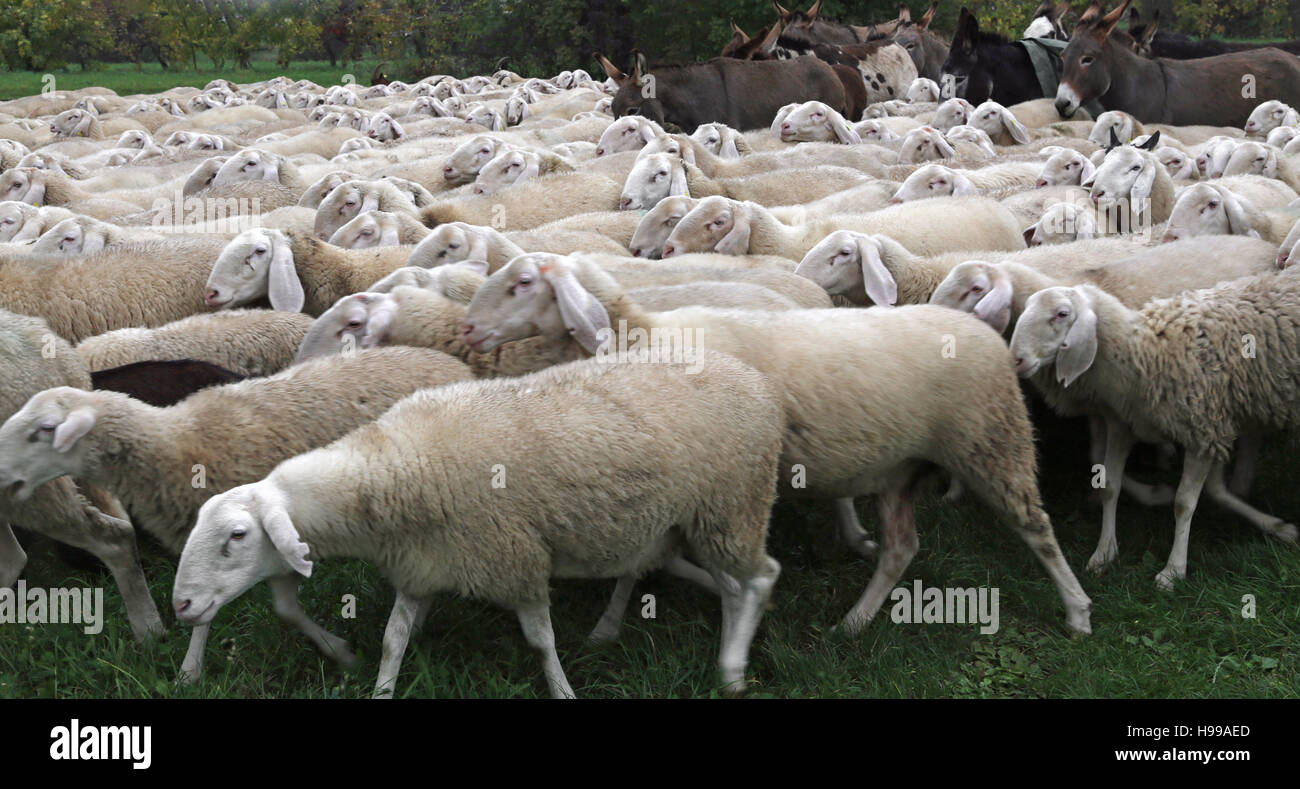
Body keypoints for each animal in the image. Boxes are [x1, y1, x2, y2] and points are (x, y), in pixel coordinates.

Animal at [0, 346, 474, 681]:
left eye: (45, 430)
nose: (0, 472)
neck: (177, 443)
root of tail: (449, 361)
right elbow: (243, 609)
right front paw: (190, 672)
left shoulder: (266, 534)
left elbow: (275, 609)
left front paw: (341, 653)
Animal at [172, 351, 785, 698]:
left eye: (237, 536)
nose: (181, 605)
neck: (393, 468)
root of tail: (755, 379)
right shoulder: (424, 563)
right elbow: (394, 640)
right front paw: (382, 689)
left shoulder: (515, 559)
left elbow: (540, 642)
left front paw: (562, 690)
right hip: (684, 518)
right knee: (713, 583)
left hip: (733, 505)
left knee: (760, 578)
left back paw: (732, 672)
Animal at [460, 253, 1095, 636]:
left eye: (522, 283)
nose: (465, 329)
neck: (643, 334)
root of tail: (986, 333)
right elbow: (641, 565)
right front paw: (610, 627)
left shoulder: (700, 475)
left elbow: (646, 566)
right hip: (900, 467)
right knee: (900, 549)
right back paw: (854, 621)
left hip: (992, 439)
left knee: (1036, 526)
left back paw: (1078, 610)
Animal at [1010, 271, 1300, 588]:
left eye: (1062, 314)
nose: (1016, 360)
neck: (1145, 352)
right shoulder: (1124, 424)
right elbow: (1110, 486)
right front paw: (1104, 552)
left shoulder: (1202, 432)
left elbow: (1184, 503)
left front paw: (1173, 571)